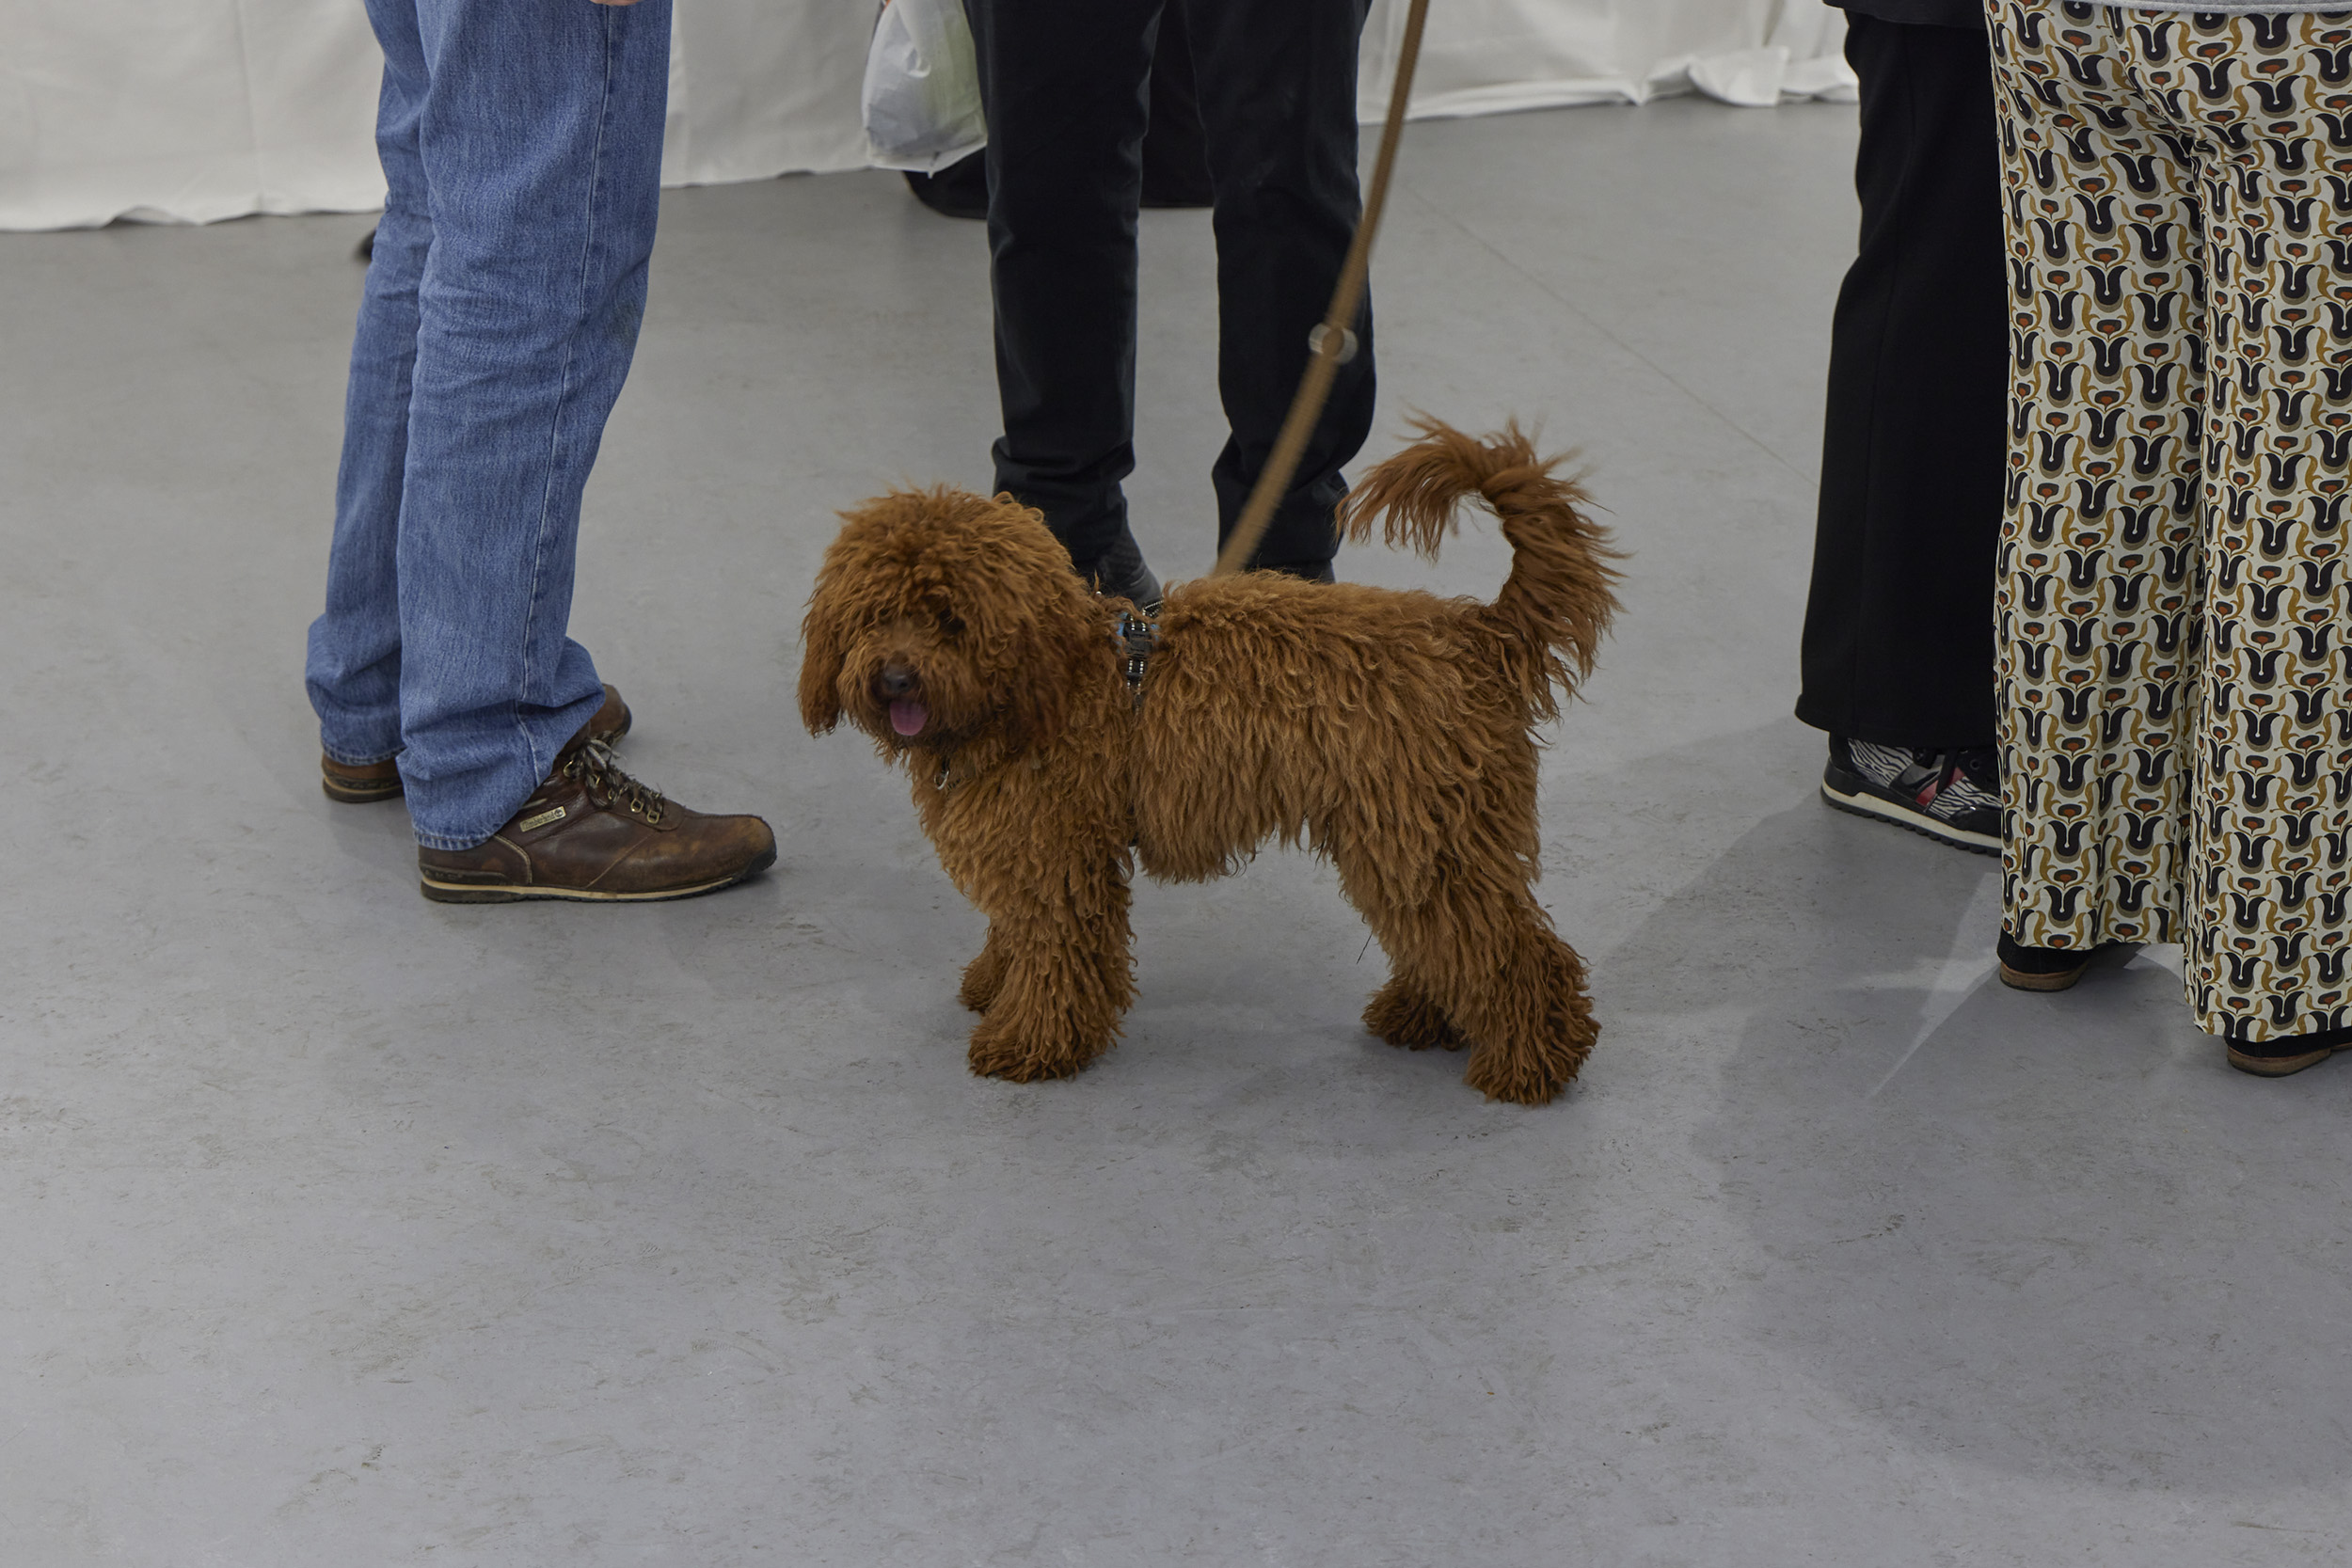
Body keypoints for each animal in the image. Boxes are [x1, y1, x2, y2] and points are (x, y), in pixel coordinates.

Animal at [798, 419, 1619, 1104]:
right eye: (876, 614)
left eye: (949, 619)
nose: (895, 678)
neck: (1048, 681)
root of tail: (1479, 635)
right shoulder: (1031, 851)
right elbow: (1016, 931)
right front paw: (994, 983)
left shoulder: (1060, 858)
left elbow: (1056, 951)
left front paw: (1031, 1039)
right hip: (1414, 844)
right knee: (1455, 940)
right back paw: (1427, 1016)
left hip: (1427, 837)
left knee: (1514, 953)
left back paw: (1531, 1063)